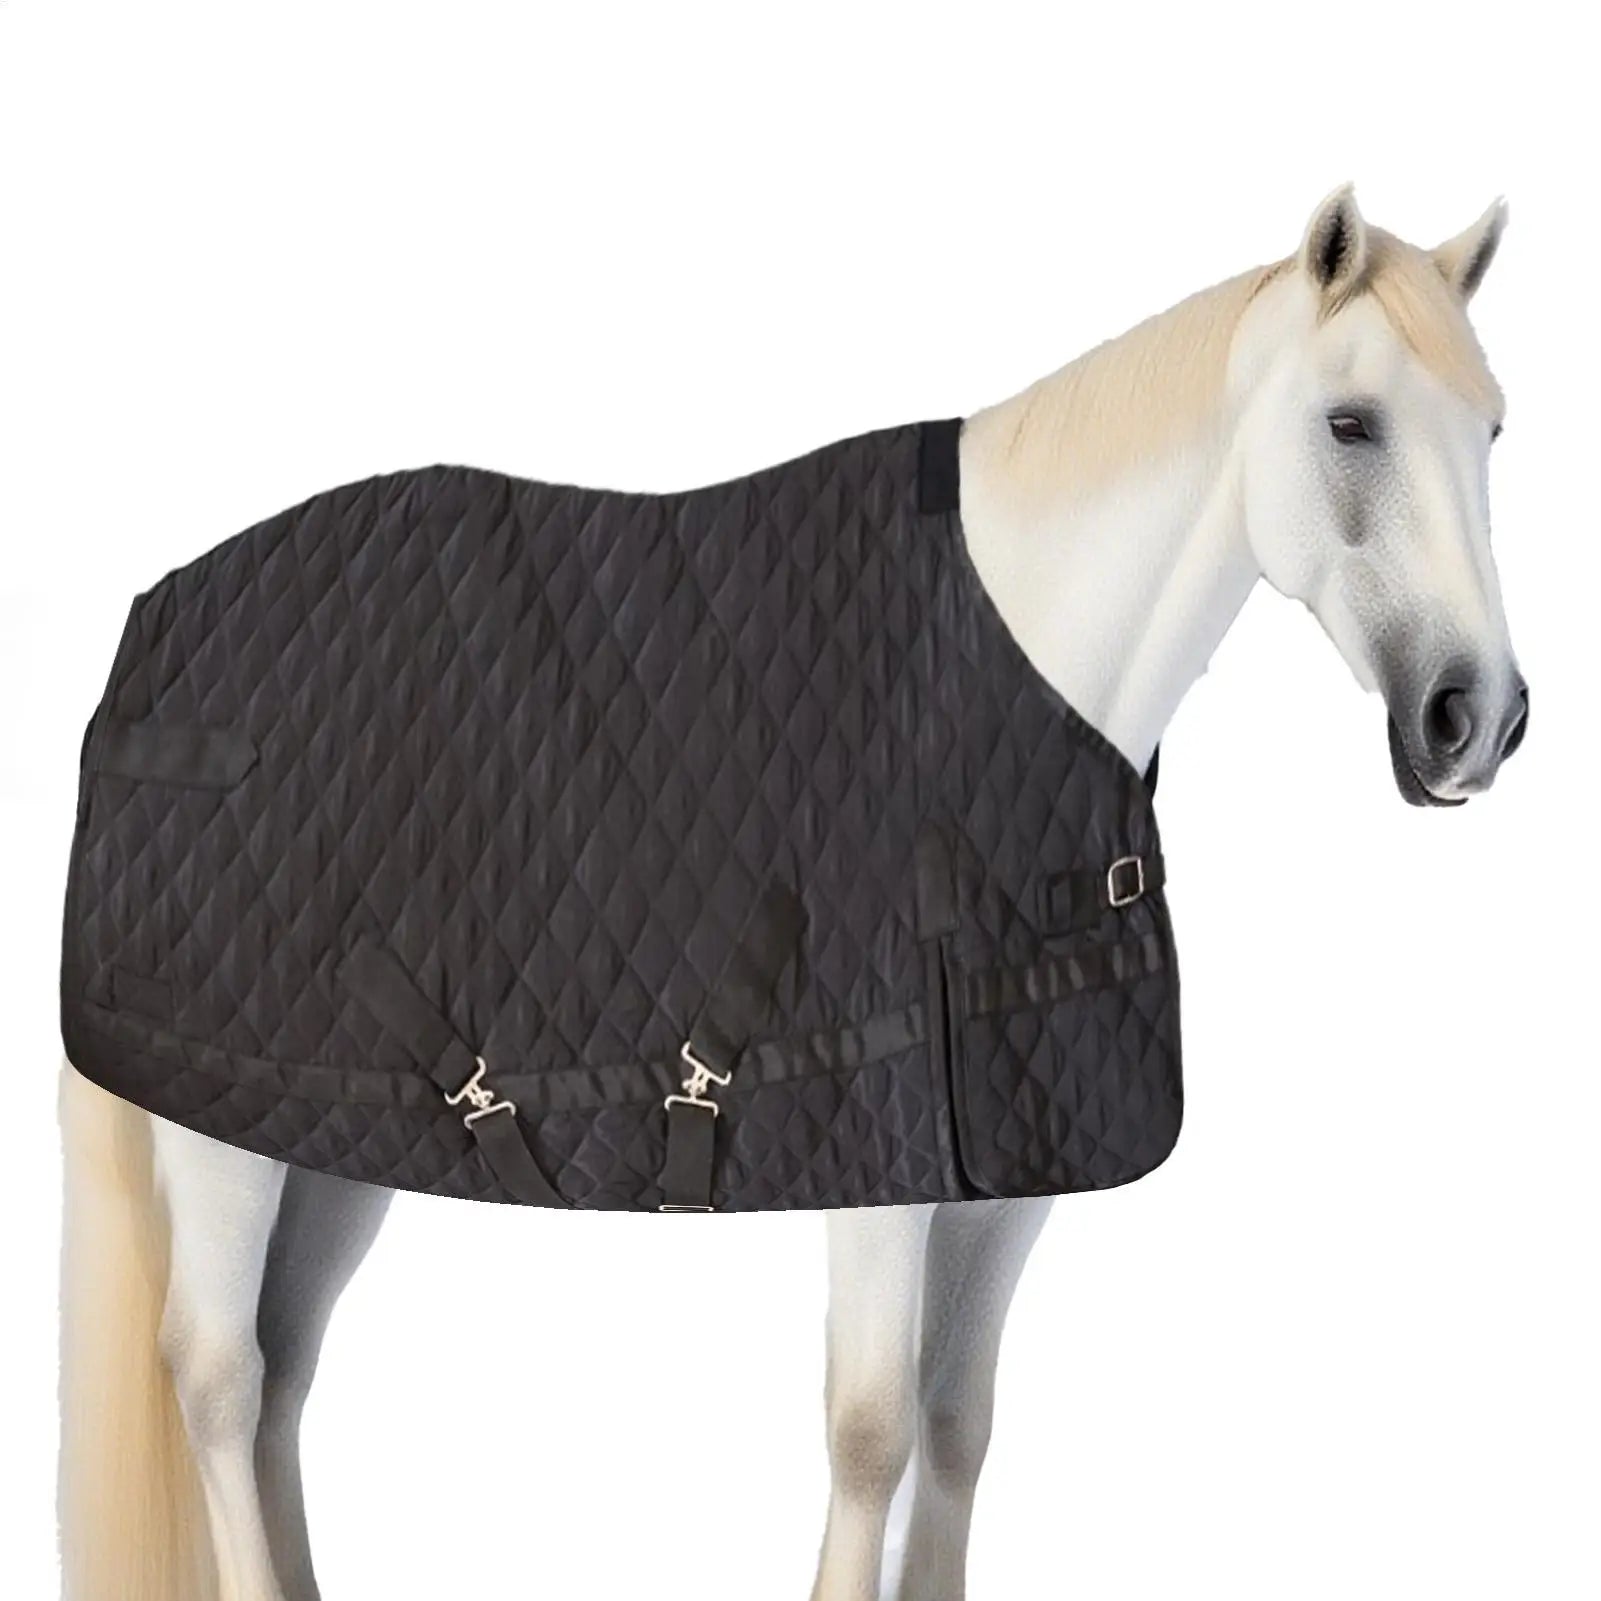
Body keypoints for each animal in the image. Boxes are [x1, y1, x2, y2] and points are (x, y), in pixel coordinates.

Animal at [58, 186, 1526, 1601]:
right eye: (1349, 422)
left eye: (1493, 431)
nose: (1477, 717)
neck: (1020, 669)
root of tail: (144, 641)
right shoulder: (881, 1161)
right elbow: (871, 1434)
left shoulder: (1016, 1169)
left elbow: (956, 1423)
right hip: (218, 1136)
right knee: (218, 1374)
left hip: (328, 1138)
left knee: (282, 1372)